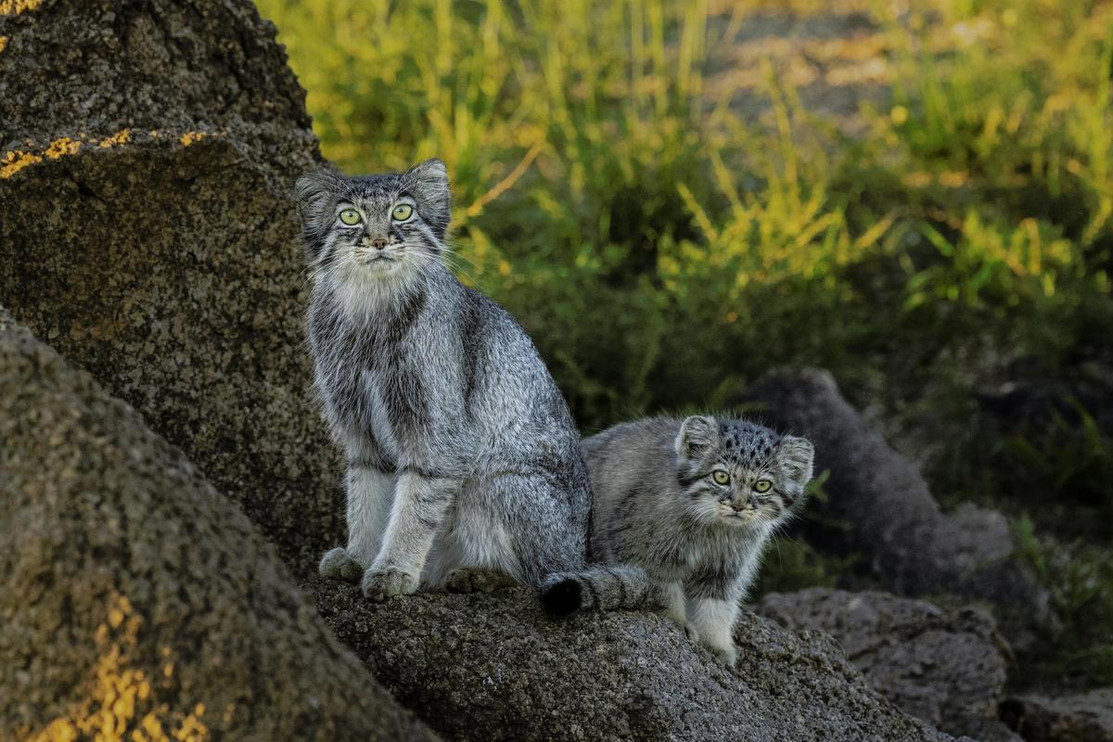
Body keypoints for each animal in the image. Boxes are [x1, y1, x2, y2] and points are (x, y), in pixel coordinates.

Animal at [296, 160, 592, 600]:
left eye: (403, 211)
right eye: (349, 217)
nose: (380, 240)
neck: (370, 312)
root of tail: (584, 551)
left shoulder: (438, 435)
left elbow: (414, 508)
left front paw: (393, 569)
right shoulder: (360, 428)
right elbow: (365, 497)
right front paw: (360, 556)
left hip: (499, 478)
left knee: (544, 576)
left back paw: (481, 574)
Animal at [543, 416, 814, 663]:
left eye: (762, 485)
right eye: (721, 477)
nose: (738, 506)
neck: (715, 530)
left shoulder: (726, 567)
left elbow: (717, 606)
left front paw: (715, 643)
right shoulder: (641, 546)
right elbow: (665, 591)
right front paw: (676, 621)